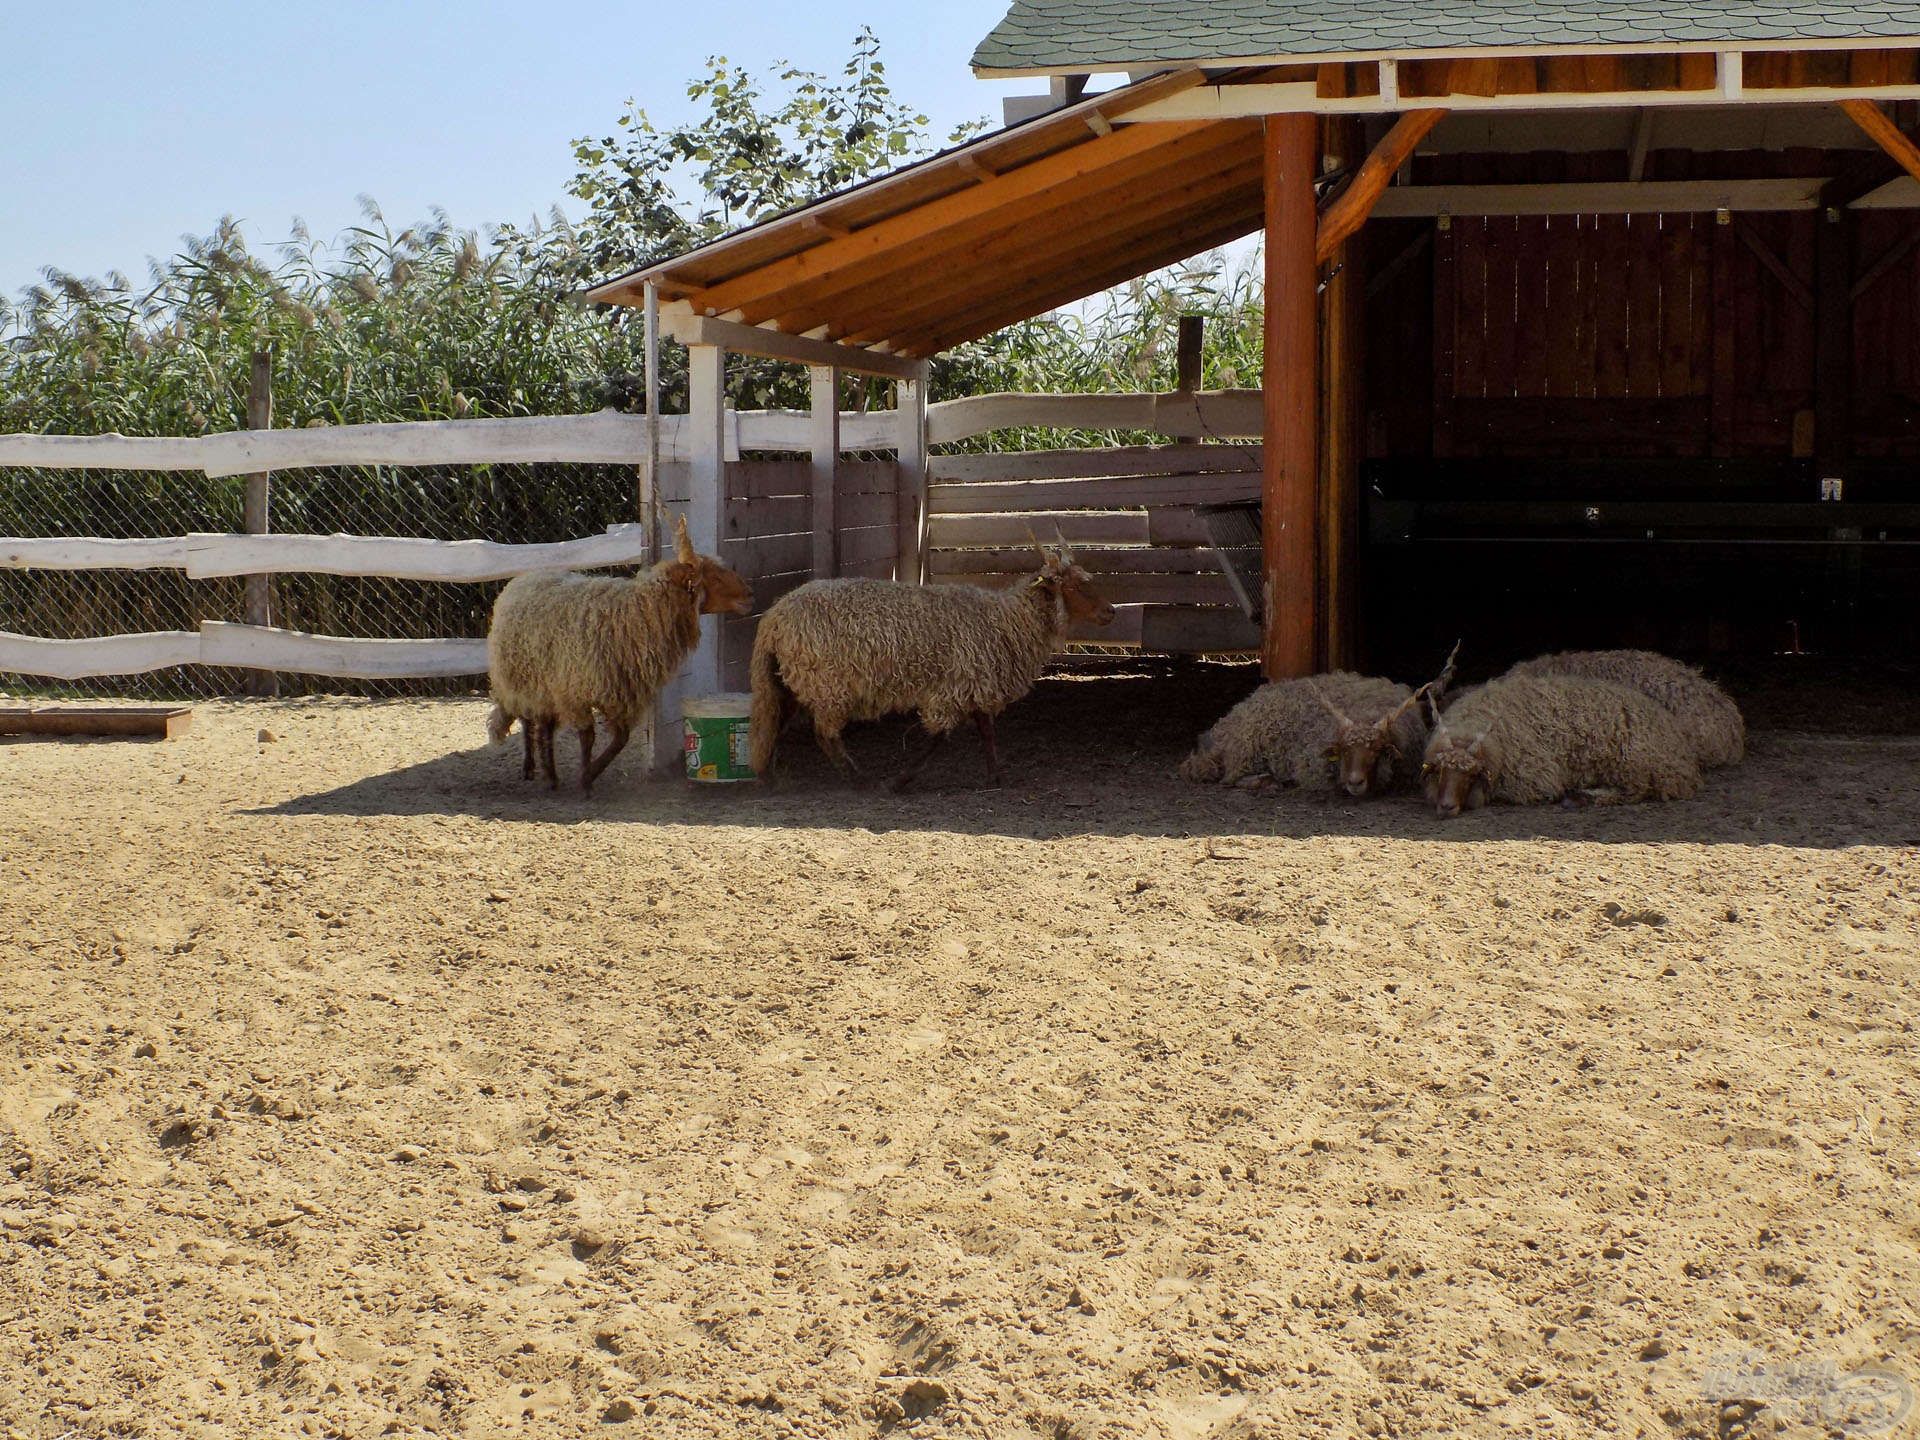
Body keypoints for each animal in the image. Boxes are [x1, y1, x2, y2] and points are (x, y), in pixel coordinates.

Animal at [487, 514, 748, 794]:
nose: (750, 594)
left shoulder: (618, 692)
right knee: (527, 720)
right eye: (715, 577)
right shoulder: (576, 691)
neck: (639, 612)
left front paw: (590, 772)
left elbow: (620, 739)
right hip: (521, 679)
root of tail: (526, 576)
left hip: (546, 684)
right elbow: (588, 736)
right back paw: (530, 766)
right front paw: (586, 779)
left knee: (544, 725)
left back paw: (550, 773)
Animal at [744, 537, 1113, 791]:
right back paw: (858, 778)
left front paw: (995, 774)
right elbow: (941, 737)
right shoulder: (956, 685)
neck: (1008, 620)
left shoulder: (976, 681)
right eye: (1075, 585)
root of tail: (774, 616)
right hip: (827, 684)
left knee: (774, 722)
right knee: (824, 734)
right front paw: (899, 781)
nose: (1111, 611)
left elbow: (986, 730)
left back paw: (768, 776)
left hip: (790, 680)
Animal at [1167, 645, 1451, 802]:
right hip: (1246, 750)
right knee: (1230, 779)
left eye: (1377, 751)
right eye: (1344, 751)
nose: (1355, 782)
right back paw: (1267, 782)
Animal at [1420, 672, 1704, 817]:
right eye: (1441, 772)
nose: (1446, 807)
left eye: (1470, 775)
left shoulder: (1538, 779)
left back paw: (1581, 797)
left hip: (1636, 765)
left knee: (1635, 791)